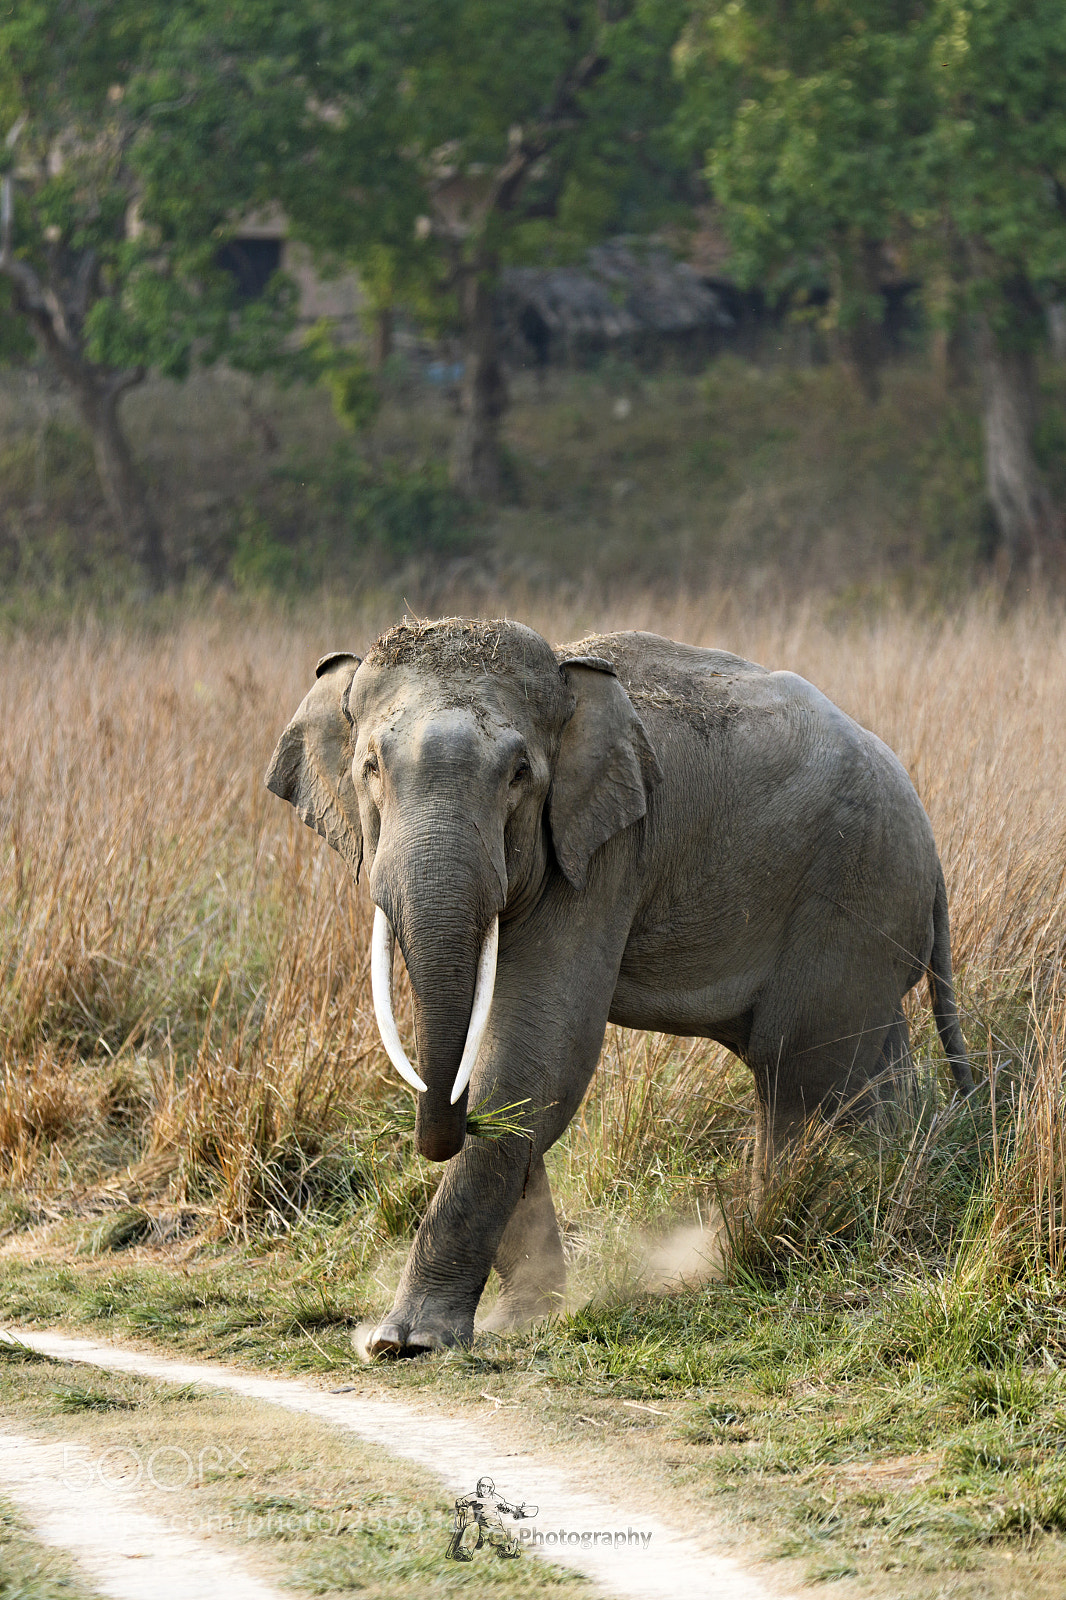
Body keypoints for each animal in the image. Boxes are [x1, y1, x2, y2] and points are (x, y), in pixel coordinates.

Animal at [266, 618, 972, 1357]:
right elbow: (507, 1059)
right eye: (370, 769)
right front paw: (529, 1315)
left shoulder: (602, 856)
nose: (446, 1132)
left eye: (520, 775)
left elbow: (540, 1057)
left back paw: (794, 1242)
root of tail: (931, 848)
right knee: (855, 1071)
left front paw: (408, 1342)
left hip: (856, 900)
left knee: (808, 1077)